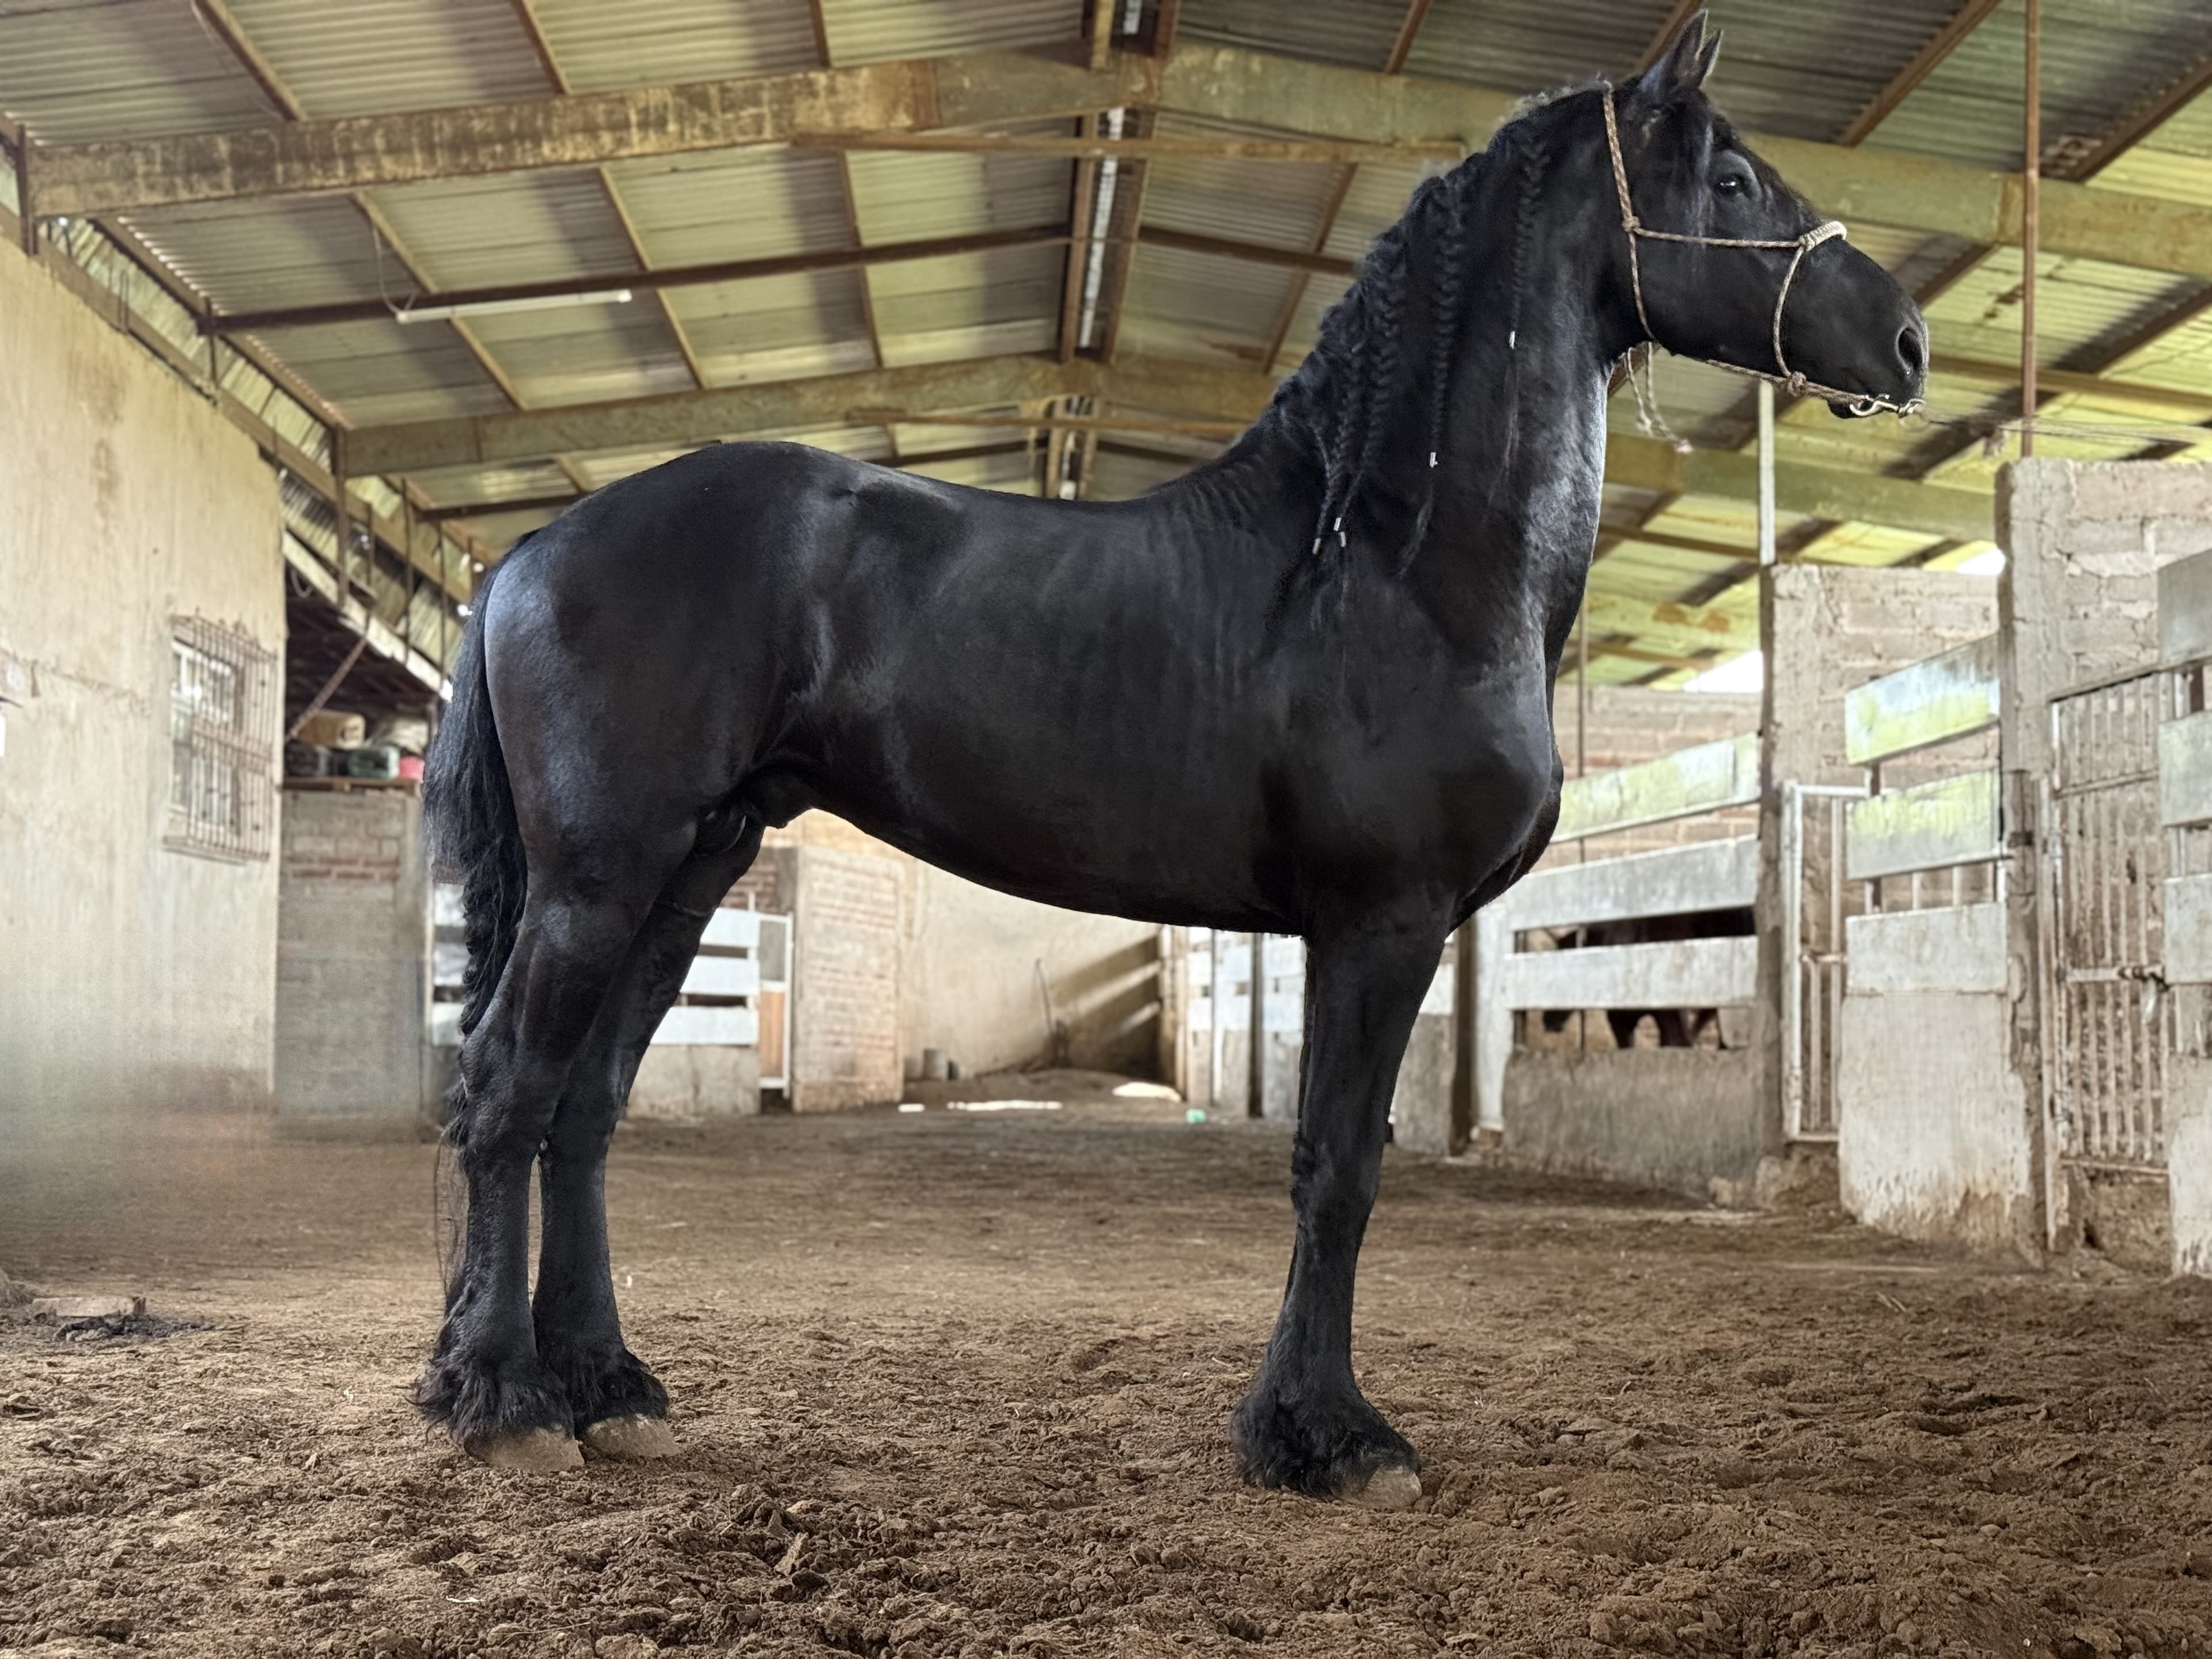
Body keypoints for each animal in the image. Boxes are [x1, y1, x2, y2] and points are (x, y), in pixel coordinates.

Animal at [417, 12, 1926, 1506]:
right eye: (1730, 181)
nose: (1906, 339)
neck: (1389, 562)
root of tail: (540, 545)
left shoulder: (1358, 931)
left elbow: (1333, 1163)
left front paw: (1300, 1426)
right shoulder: (1382, 924)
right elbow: (1338, 1171)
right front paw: (1331, 1438)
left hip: (691, 870)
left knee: (584, 1108)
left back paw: (606, 1387)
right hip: (600, 877)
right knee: (505, 1092)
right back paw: (505, 1403)